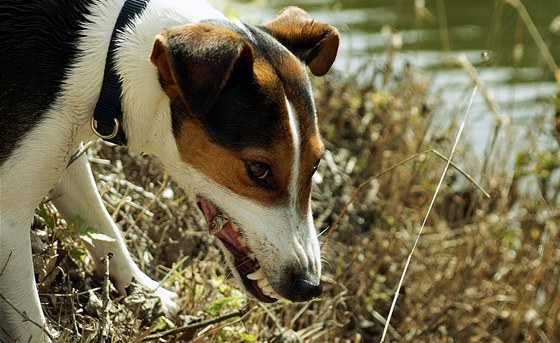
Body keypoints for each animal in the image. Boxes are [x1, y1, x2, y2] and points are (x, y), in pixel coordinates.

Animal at [0, 0, 340, 340]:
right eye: (258, 168)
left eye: (315, 164)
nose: (309, 286)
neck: (109, 55)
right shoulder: (9, 215)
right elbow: (32, 324)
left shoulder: (62, 153)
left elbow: (102, 223)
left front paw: (145, 290)